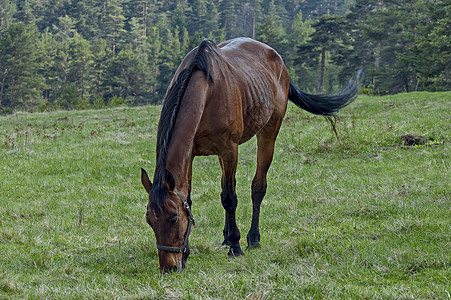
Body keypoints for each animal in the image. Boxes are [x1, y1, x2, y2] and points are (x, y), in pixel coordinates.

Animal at [139, 37, 362, 272]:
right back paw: (226, 237)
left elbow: (230, 198)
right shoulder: (190, 155)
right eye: (149, 220)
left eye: (173, 218)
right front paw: (190, 253)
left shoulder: (230, 149)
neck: (206, 91)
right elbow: (191, 198)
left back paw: (252, 239)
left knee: (258, 187)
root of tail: (277, 59)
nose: (169, 267)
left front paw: (235, 246)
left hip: (269, 131)